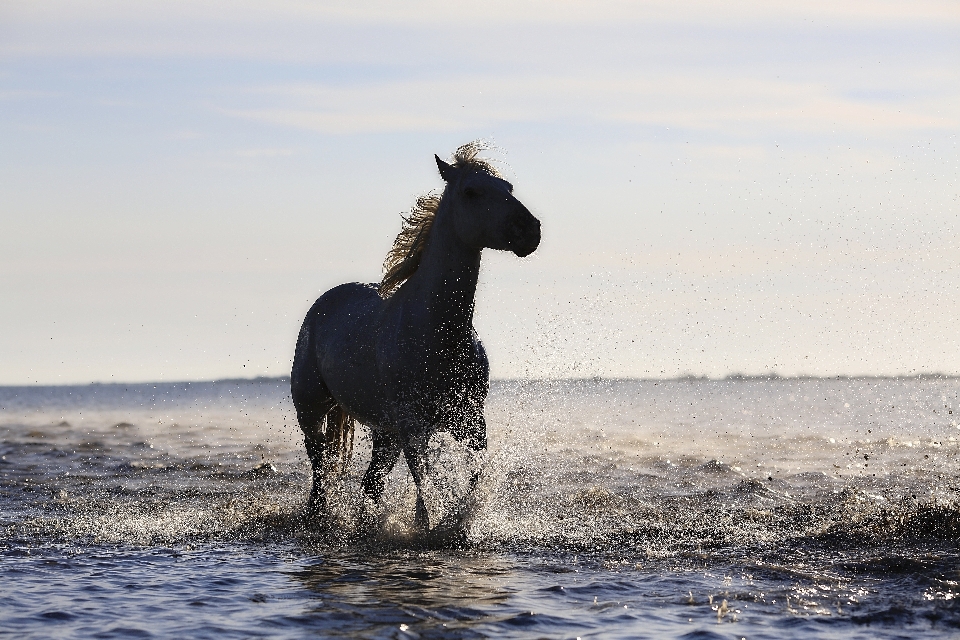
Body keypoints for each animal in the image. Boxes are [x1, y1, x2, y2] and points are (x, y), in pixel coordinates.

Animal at [292, 142, 540, 532]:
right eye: (471, 191)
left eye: (508, 187)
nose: (530, 230)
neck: (437, 333)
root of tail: (323, 302)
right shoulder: (413, 426)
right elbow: (424, 485)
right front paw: (428, 526)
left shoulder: (470, 420)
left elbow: (474, 476)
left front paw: (459, 521)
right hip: (312, 409)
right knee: (320, 468)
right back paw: (319, 516)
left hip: (385, 432)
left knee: (371, 482)